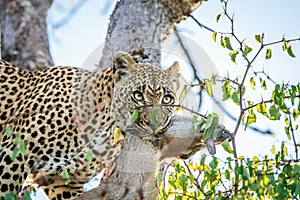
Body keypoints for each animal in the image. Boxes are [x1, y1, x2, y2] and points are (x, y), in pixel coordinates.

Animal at [0, 52, 182, 200]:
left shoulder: (64, 181)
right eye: (138, 96)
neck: (107, 128)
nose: (155, 124)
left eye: (167, 99)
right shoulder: (14, 152)